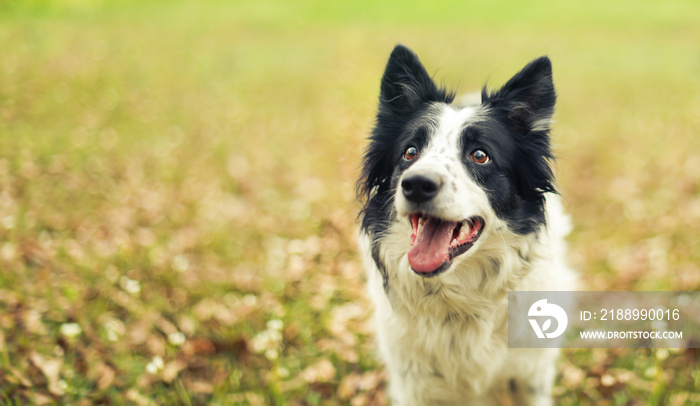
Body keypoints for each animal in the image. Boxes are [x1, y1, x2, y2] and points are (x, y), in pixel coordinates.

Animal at [358, 45, 576, 406]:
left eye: (479, 155)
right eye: (410, 152)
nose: (417, 184)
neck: (460, 300)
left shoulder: (530, 376)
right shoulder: (413, 384)